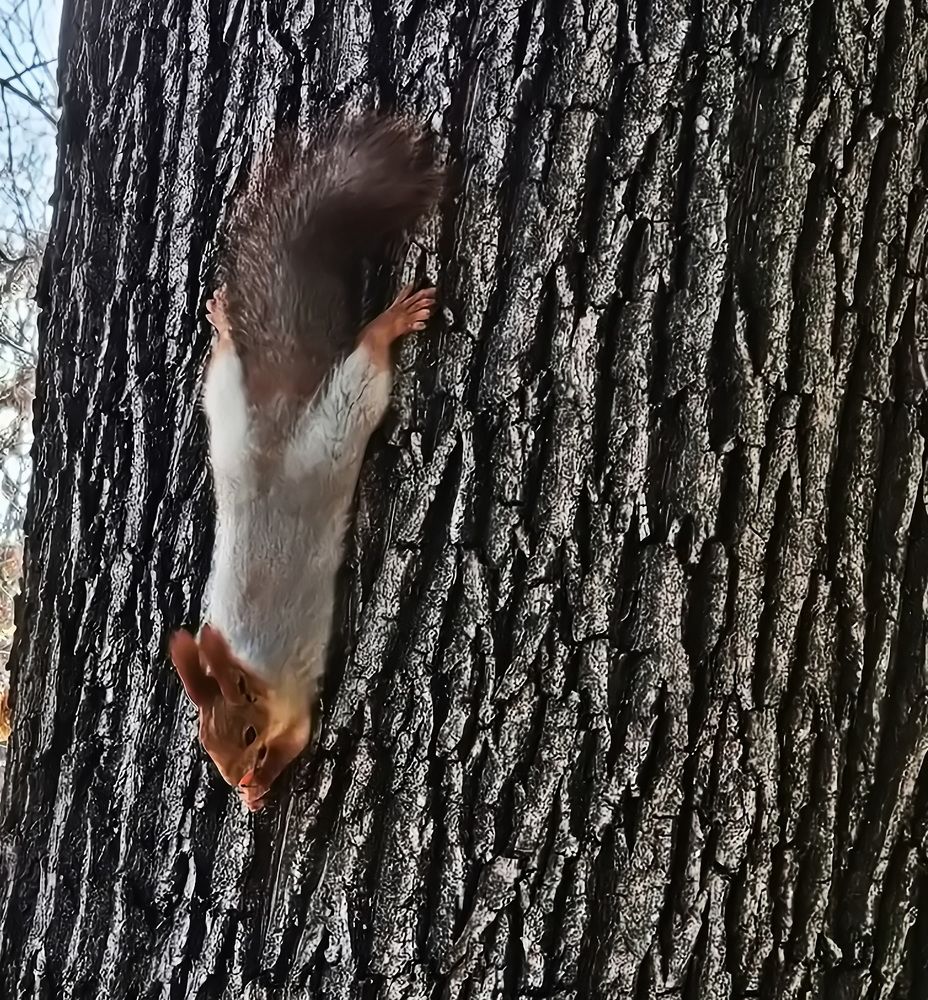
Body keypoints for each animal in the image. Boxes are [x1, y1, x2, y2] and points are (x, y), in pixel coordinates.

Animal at [169, 114, 444, 811]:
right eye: (206, 741)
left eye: (245, 730)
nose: (234, 777)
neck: (250, 667)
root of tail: (279, 427)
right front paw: (250, 794)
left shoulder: (294, 706)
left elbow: (296, 743)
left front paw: (262, 785)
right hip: (226, 412)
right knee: (226, 362)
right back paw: (223, 322)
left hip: (341, 418)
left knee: (365, 360)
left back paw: (389, 322)